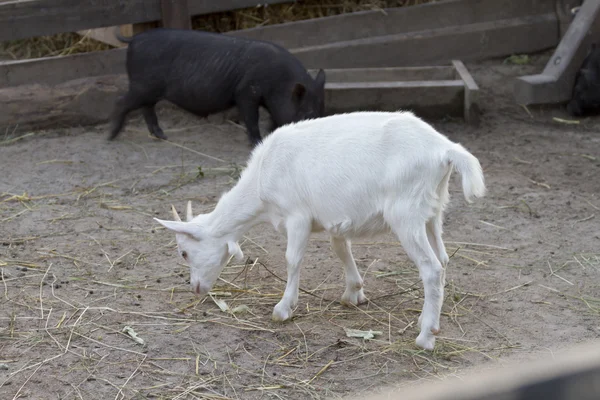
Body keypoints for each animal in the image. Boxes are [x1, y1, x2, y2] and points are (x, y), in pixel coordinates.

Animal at [108, 28, 324, 147]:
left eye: (322, 111)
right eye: (306, 113)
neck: (279, 83)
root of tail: (134, 39)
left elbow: (272, 119)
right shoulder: (245, 92)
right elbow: (251, 119)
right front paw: (257, 142)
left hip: (148, 89)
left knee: (147, 108)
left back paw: (162, 136)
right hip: (142, 85)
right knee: (121, 101)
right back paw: (111, 137)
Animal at [154, 110, 482, 350]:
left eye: (184, 252)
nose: (195, 288)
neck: (261, 181)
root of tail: (445, 149)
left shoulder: (297, 216)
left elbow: (292, 260)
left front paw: (283, 308)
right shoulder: (335, 218)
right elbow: (340, 248)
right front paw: (353, 293)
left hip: (406, 214)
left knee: (431, 268)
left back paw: (426, 336)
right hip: (432, 210)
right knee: (443, 259)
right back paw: (427, 319)